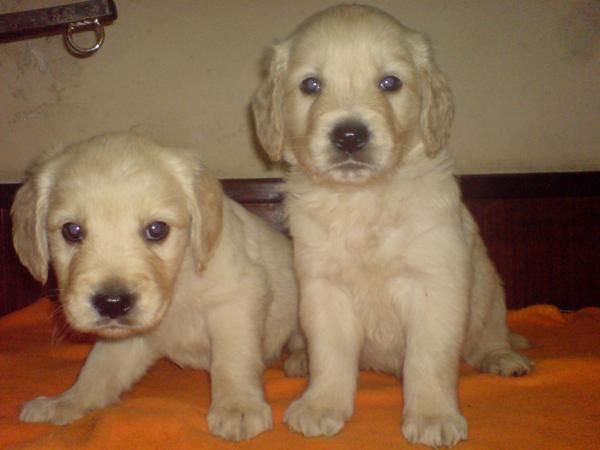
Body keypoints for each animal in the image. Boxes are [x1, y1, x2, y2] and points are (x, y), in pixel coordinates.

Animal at [12, 132, 304, 442]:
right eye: (72, 230)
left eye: (157, 229)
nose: (112, 303)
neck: (177, 284)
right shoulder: (126, 335)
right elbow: (98, 370)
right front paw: (67, 401)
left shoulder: (237, 301)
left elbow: (234, 358)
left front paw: (238, 406)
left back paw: (301, 360)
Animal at [251, 5, 532, 448]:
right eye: (311, 85)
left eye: (390, 83)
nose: (349, 135)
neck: (364, 198)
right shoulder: (322, 287)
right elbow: (330, 354)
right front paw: (321, 406)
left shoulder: (436, 282)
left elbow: (427, 360)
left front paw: (432, 416)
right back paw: (298, 361)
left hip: (491, 294)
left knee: (488, 337)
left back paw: (504, 358)